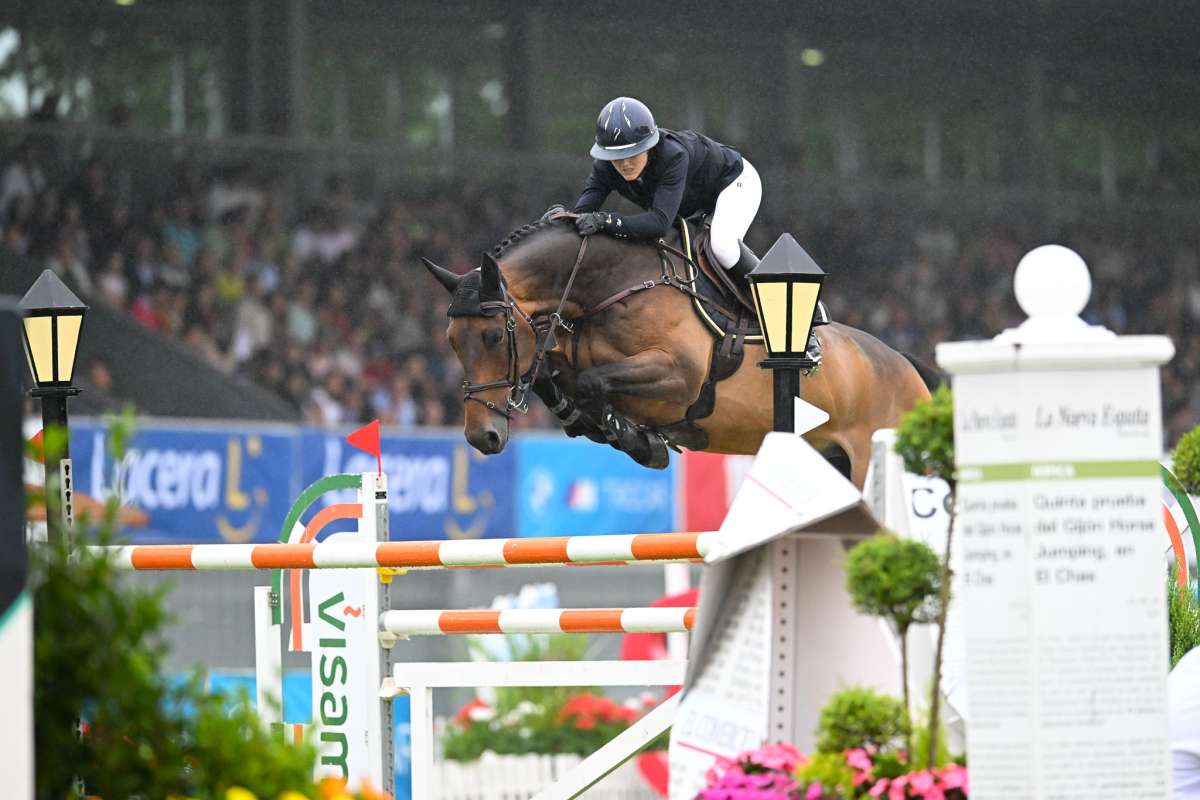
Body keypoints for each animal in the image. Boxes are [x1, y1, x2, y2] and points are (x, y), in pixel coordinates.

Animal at [422, 215, 936, 489]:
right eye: (451, 342)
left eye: (493, 337)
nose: (481, 437)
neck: (609, 288)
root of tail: (909, 369)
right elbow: (556, 376)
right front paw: (607, 429)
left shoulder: (679, 378)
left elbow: (592, 382)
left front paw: (638, 439)